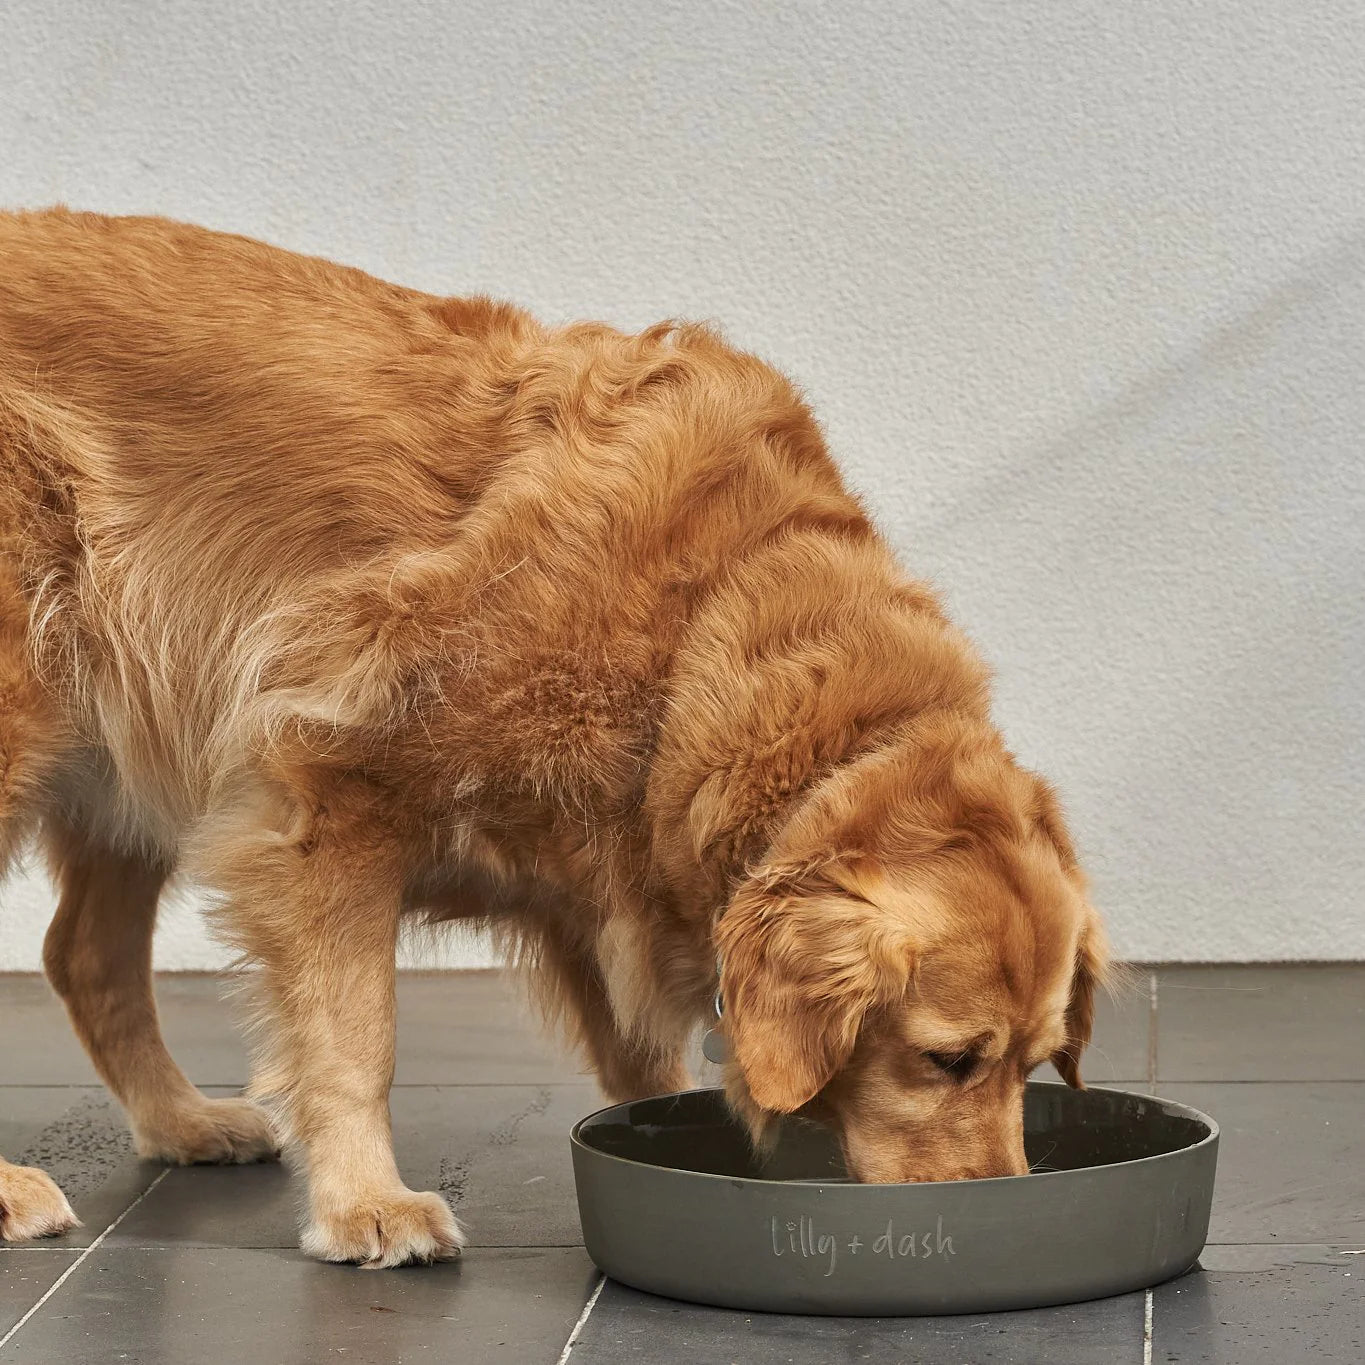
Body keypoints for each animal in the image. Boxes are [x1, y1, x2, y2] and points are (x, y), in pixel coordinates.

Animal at [0, 207, 1108, 1261]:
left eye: (1035, 1060)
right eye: (947, 1058)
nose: (1002, 1213)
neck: (698, 627)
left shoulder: (606, 893)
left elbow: (648, 1067)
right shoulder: (331, 786)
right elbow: (358, 1037)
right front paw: (366, 1202)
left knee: (82, 955)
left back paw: (183, 1121)